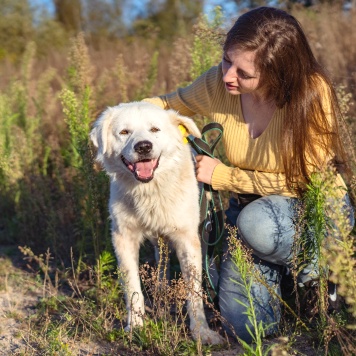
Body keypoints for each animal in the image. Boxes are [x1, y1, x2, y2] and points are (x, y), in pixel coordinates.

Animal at [89, 101, 222, 344]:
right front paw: (136, 327)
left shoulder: (187, 239)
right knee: (161, 267)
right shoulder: (124, 238)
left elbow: (194, 292)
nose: (143, 147)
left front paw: (201, 333)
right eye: (124, 132)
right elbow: (133, 287)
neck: (149, 190)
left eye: (154, 130)